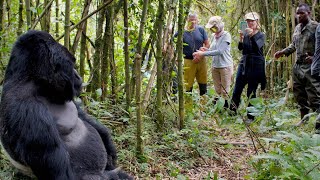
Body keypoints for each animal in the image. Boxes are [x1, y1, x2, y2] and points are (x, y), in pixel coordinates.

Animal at [0, 30, 132, 179]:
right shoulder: (28, 111)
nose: (78, 76)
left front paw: (108, 141)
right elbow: (62, 174)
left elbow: (83, 116)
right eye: (71, 65)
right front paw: (111, 174)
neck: (34, 83)